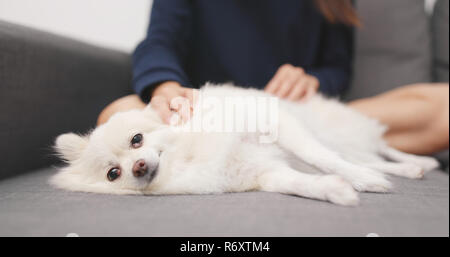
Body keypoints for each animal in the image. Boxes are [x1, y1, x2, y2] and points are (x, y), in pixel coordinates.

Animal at [51, 83, 438, 205]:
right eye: (113, 174)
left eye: (137, 139)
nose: (138, 166)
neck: (188, 157)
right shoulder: (265, 173)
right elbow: (299, 182)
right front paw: (335, 190)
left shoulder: (281, 124)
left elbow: (319, 157)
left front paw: (360, 181)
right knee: (370, 156)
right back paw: (410, 168)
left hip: (334, 132)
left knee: (371, 149)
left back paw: (418, 163)